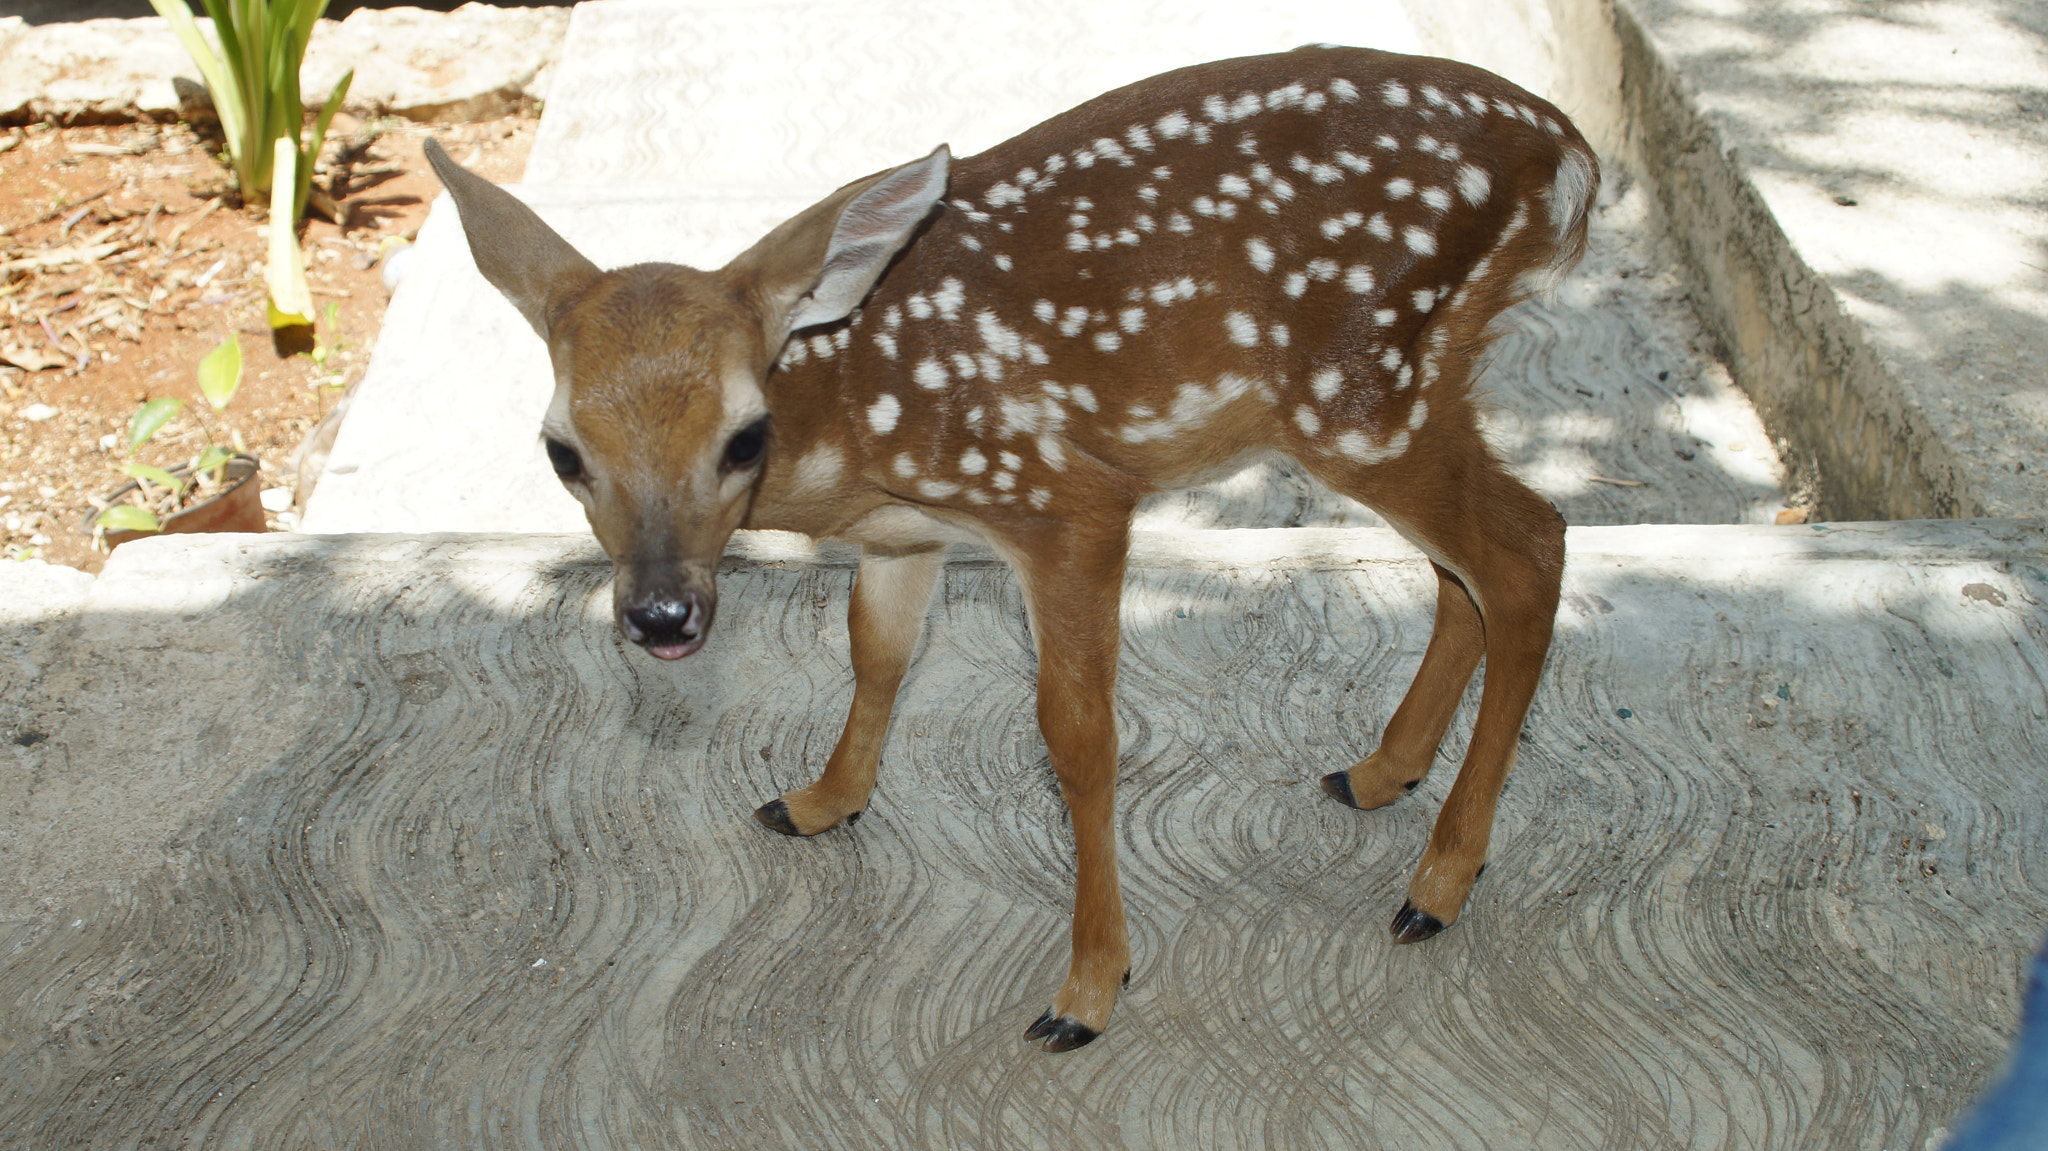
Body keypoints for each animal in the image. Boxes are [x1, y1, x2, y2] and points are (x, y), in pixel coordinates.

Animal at [428, 47, 1597, 1048]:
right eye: (561, 452)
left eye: (743, 436)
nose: (662, 613)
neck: (845, 420)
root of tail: (1566, 150)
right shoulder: (906, 535)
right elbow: (875, 653)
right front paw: (817, 801)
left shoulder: (1061, 499)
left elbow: (1076, 737)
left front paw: (1087, 988)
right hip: (1405, 388)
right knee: (1466, 567)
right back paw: (1378, 773)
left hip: (1358, 392)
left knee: (1528, 549)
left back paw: (1437, 882)